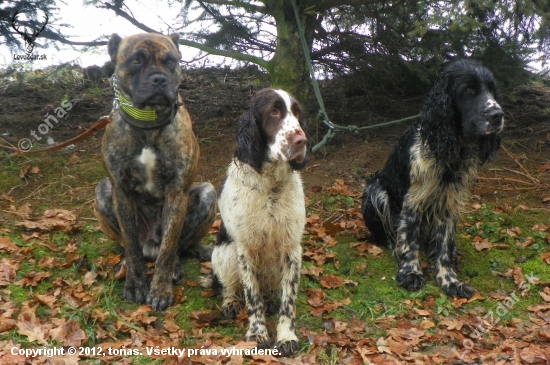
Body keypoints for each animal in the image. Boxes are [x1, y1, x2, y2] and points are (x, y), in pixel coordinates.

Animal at [94, 32, 217, 308]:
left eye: (170, 60)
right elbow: (130, 245)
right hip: (102, 190)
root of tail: (150, 245)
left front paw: (160, 290)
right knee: (130, 246)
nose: (159, 79)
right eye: (136, 61)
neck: (148, 121)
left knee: (177, 247)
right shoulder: (121, 191)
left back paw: (179, 265)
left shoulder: (177, 192)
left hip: (207, 193)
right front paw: (136, 284)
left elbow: (169, 248)